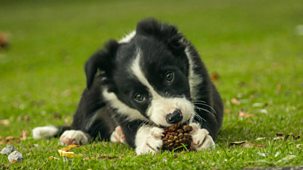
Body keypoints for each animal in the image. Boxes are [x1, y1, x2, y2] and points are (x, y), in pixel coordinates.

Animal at [32, 17, 223, 155]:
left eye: (169, 76)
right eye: (138, 97)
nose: (174, 116)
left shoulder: (202, 84)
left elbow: (207, 118)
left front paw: (200, 136)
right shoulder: (118, 106)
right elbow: (134, 129)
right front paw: (147, 141)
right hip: (91, 90)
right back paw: (75, 135)